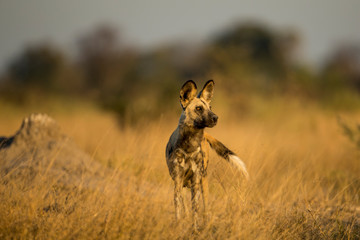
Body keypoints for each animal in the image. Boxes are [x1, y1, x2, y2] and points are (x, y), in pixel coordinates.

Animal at [167, 80, 249, 229]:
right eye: (199, 108)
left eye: (210, 107)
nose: (216, 117)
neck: (189, 145)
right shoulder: (177, 181)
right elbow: (179, 208)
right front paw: (179, 226)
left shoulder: (196, 181)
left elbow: (195, 209)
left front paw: (194, 228)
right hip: (184, 184)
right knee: (184, 203)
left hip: (203, 182)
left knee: (204, 208)